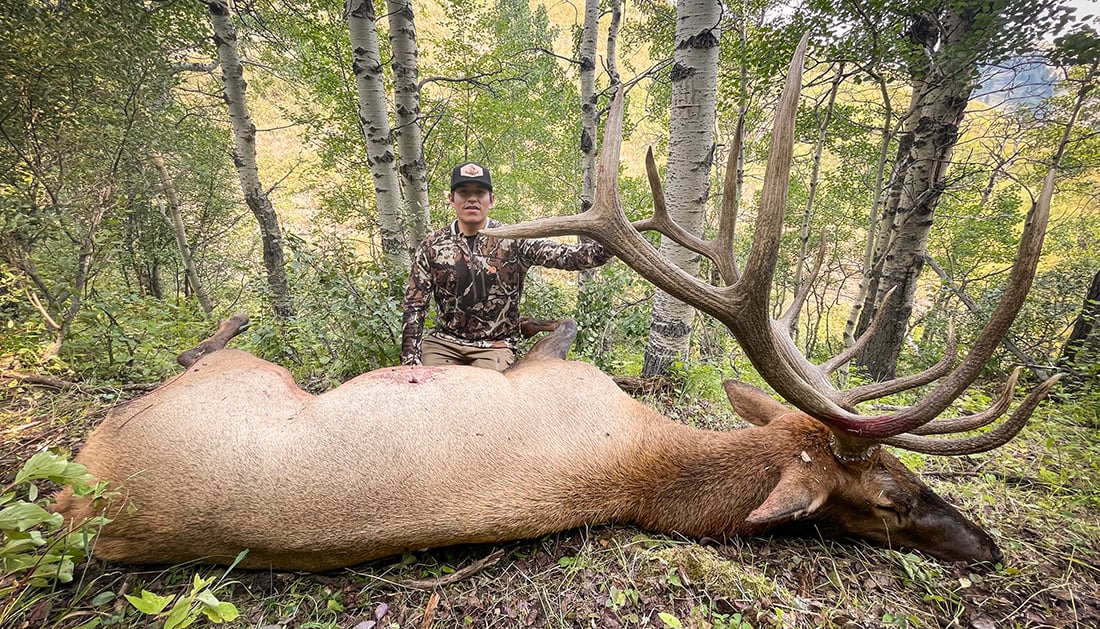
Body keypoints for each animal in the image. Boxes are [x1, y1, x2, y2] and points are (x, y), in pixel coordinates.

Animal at [54, 36, 1061, 572]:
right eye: (891, 492)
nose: (987, 545)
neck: (648, 464)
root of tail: (74, 494)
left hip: (240, 375)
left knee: (195, 349)